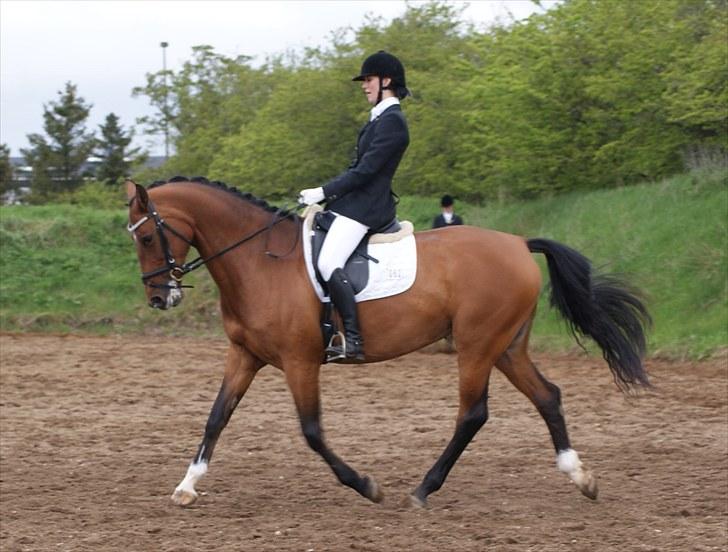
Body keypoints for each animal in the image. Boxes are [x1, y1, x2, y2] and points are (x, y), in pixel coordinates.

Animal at [122, 178, 652, 508]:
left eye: (146, 238)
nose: (158, 298)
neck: (258, 261)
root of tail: (519, 243)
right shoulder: (245, 356)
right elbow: (216, 417)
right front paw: (187, 486)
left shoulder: (300, 361)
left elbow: (312, 432)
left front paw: (366, 486)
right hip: (506, 346)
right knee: (547, 396)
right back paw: (580, 477)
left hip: (477, 345)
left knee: (473, 414)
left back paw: (422, 490)